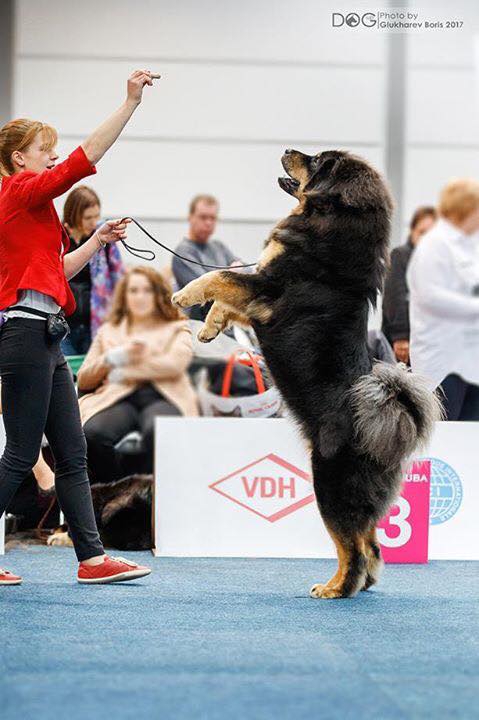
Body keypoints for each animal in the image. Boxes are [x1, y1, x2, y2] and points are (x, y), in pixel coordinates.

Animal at [172, 149, 442, 599]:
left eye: (317, 161)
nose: (288, 150)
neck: (330, 226)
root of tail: (391, 425)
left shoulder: (266, 292)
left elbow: (219, 276)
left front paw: (185, 294)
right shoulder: (257, 294)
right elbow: (226, 299)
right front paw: (210, 328)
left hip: (329, 485)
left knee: (355, 549)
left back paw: (336, 589)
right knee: (372, 547)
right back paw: (356, 586)